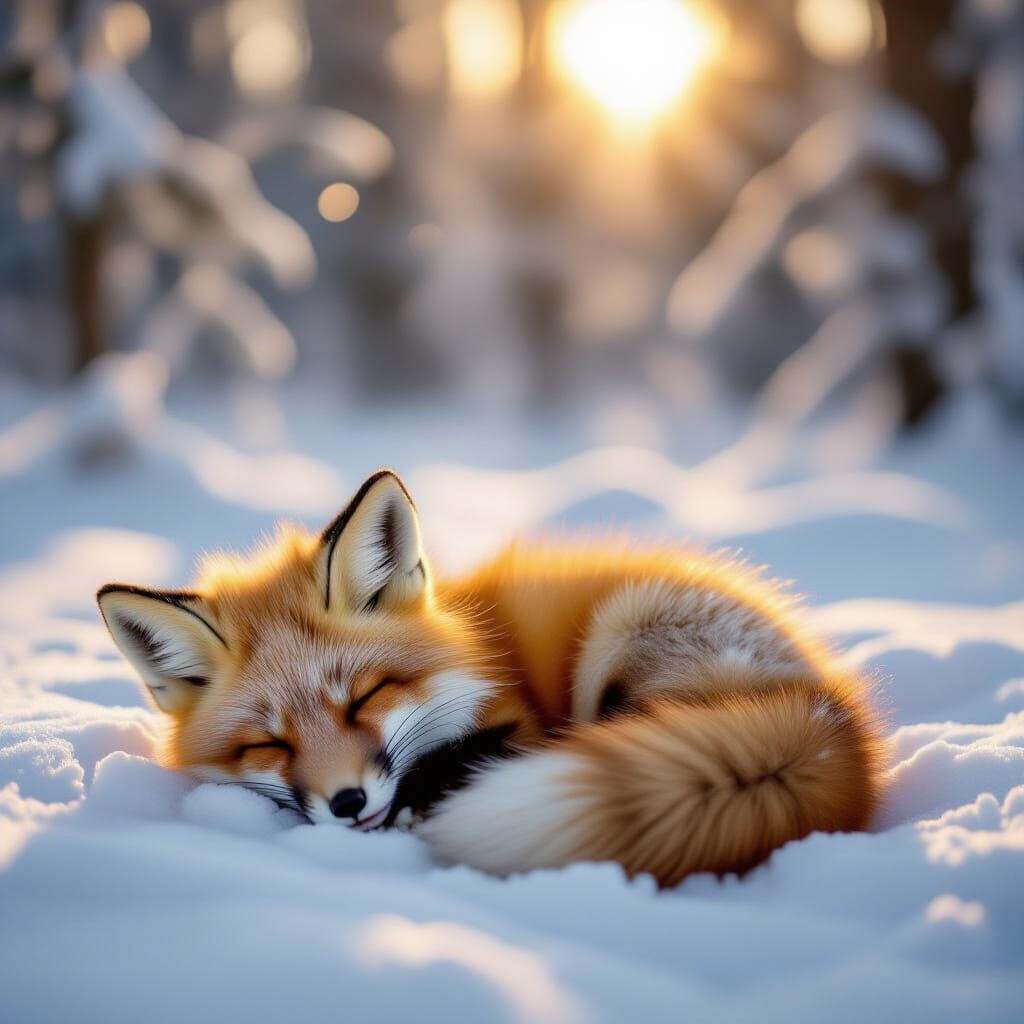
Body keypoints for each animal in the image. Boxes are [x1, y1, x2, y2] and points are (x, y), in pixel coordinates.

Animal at [98, 468, 884, 887]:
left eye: (367, 697)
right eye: (270, 744)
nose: (349, 803)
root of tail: (831, 715)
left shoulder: (522, 719)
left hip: (621, 628)